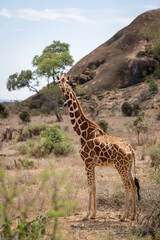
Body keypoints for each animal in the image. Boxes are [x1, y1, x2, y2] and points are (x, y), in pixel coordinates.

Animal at [57, 73, 140, 221]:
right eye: (58, 82)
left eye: (66, 81)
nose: (62, 88)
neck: (82, 132)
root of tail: (131, 149)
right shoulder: (93, 163)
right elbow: (95, 186)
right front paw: (94, 214)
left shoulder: (87, 161)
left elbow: (90, 187)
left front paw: (86, 215)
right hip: (128, 167)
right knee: (133, 185)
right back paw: (132, 215)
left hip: (120, 166)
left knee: (127, 185)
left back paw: (124, 215)